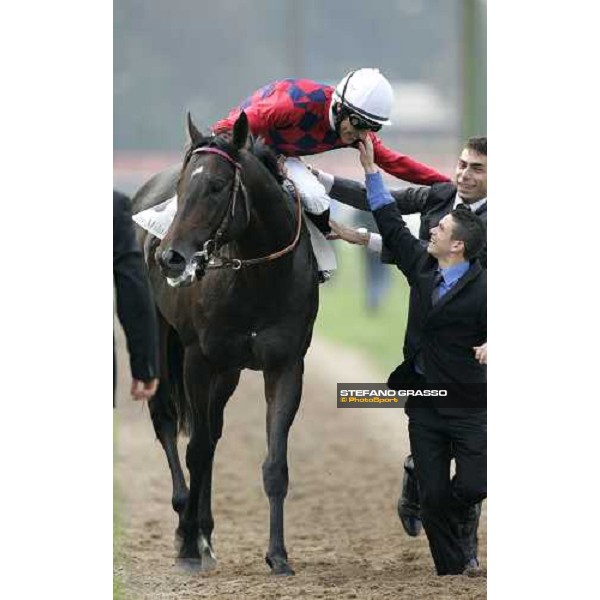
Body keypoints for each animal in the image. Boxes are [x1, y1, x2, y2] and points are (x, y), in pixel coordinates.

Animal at [131, 110, 318, 576]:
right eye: (182, 186)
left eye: (216, 186)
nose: (170, 257)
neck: (256, 278)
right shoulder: (198, 359)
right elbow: (195, 450)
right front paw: (186, 546)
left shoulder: (285, 364)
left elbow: (274, 463)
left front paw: (278, 555)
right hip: (160, 341)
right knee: (168, 422)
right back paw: (186, 521)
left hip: (230, 371)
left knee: (213, 430)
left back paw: (205, 531)